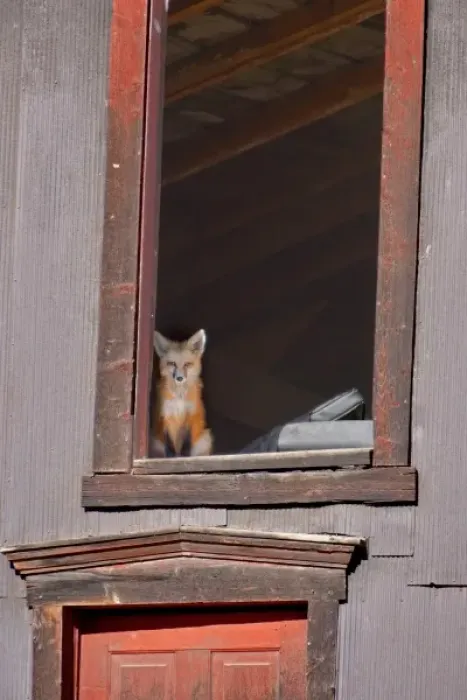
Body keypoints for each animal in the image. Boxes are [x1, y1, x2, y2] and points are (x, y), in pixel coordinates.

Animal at [150, 328, 213, 458]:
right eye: (172, 363)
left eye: (187, 364)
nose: (179, 378)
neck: (179, 397)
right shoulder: (165, 414)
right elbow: (169, 442)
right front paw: (171, 456)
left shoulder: (191, 414)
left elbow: (187, 442)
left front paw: (184, 456)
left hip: (205, 437)